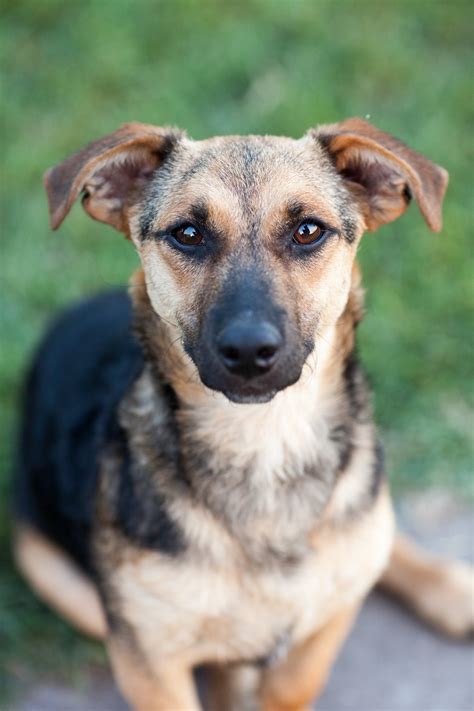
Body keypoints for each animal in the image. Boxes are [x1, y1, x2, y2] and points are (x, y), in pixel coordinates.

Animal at [12, 119, 472, 708]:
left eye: (308, 231)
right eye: (188, 233)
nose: (250, 350)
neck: (264, 441)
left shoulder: (329, 621)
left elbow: (295, 681)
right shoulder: (148, 659)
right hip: (54, 571)